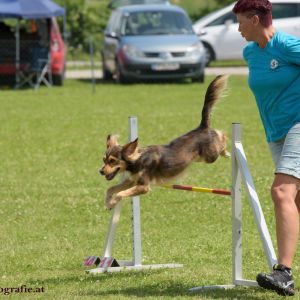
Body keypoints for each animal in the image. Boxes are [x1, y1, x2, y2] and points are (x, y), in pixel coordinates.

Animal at [101, 75, 230, 209]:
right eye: (104, 160)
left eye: (112, 161)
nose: (101, 171)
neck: (138, 160)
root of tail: (202, 127)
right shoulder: (132, 181)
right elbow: (110, 189)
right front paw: (108, 202)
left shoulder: (143, 187)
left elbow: (119, 194)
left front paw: (112, 203)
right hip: (200, 158)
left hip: (210, 157)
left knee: (221, 135)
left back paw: (227, 152)